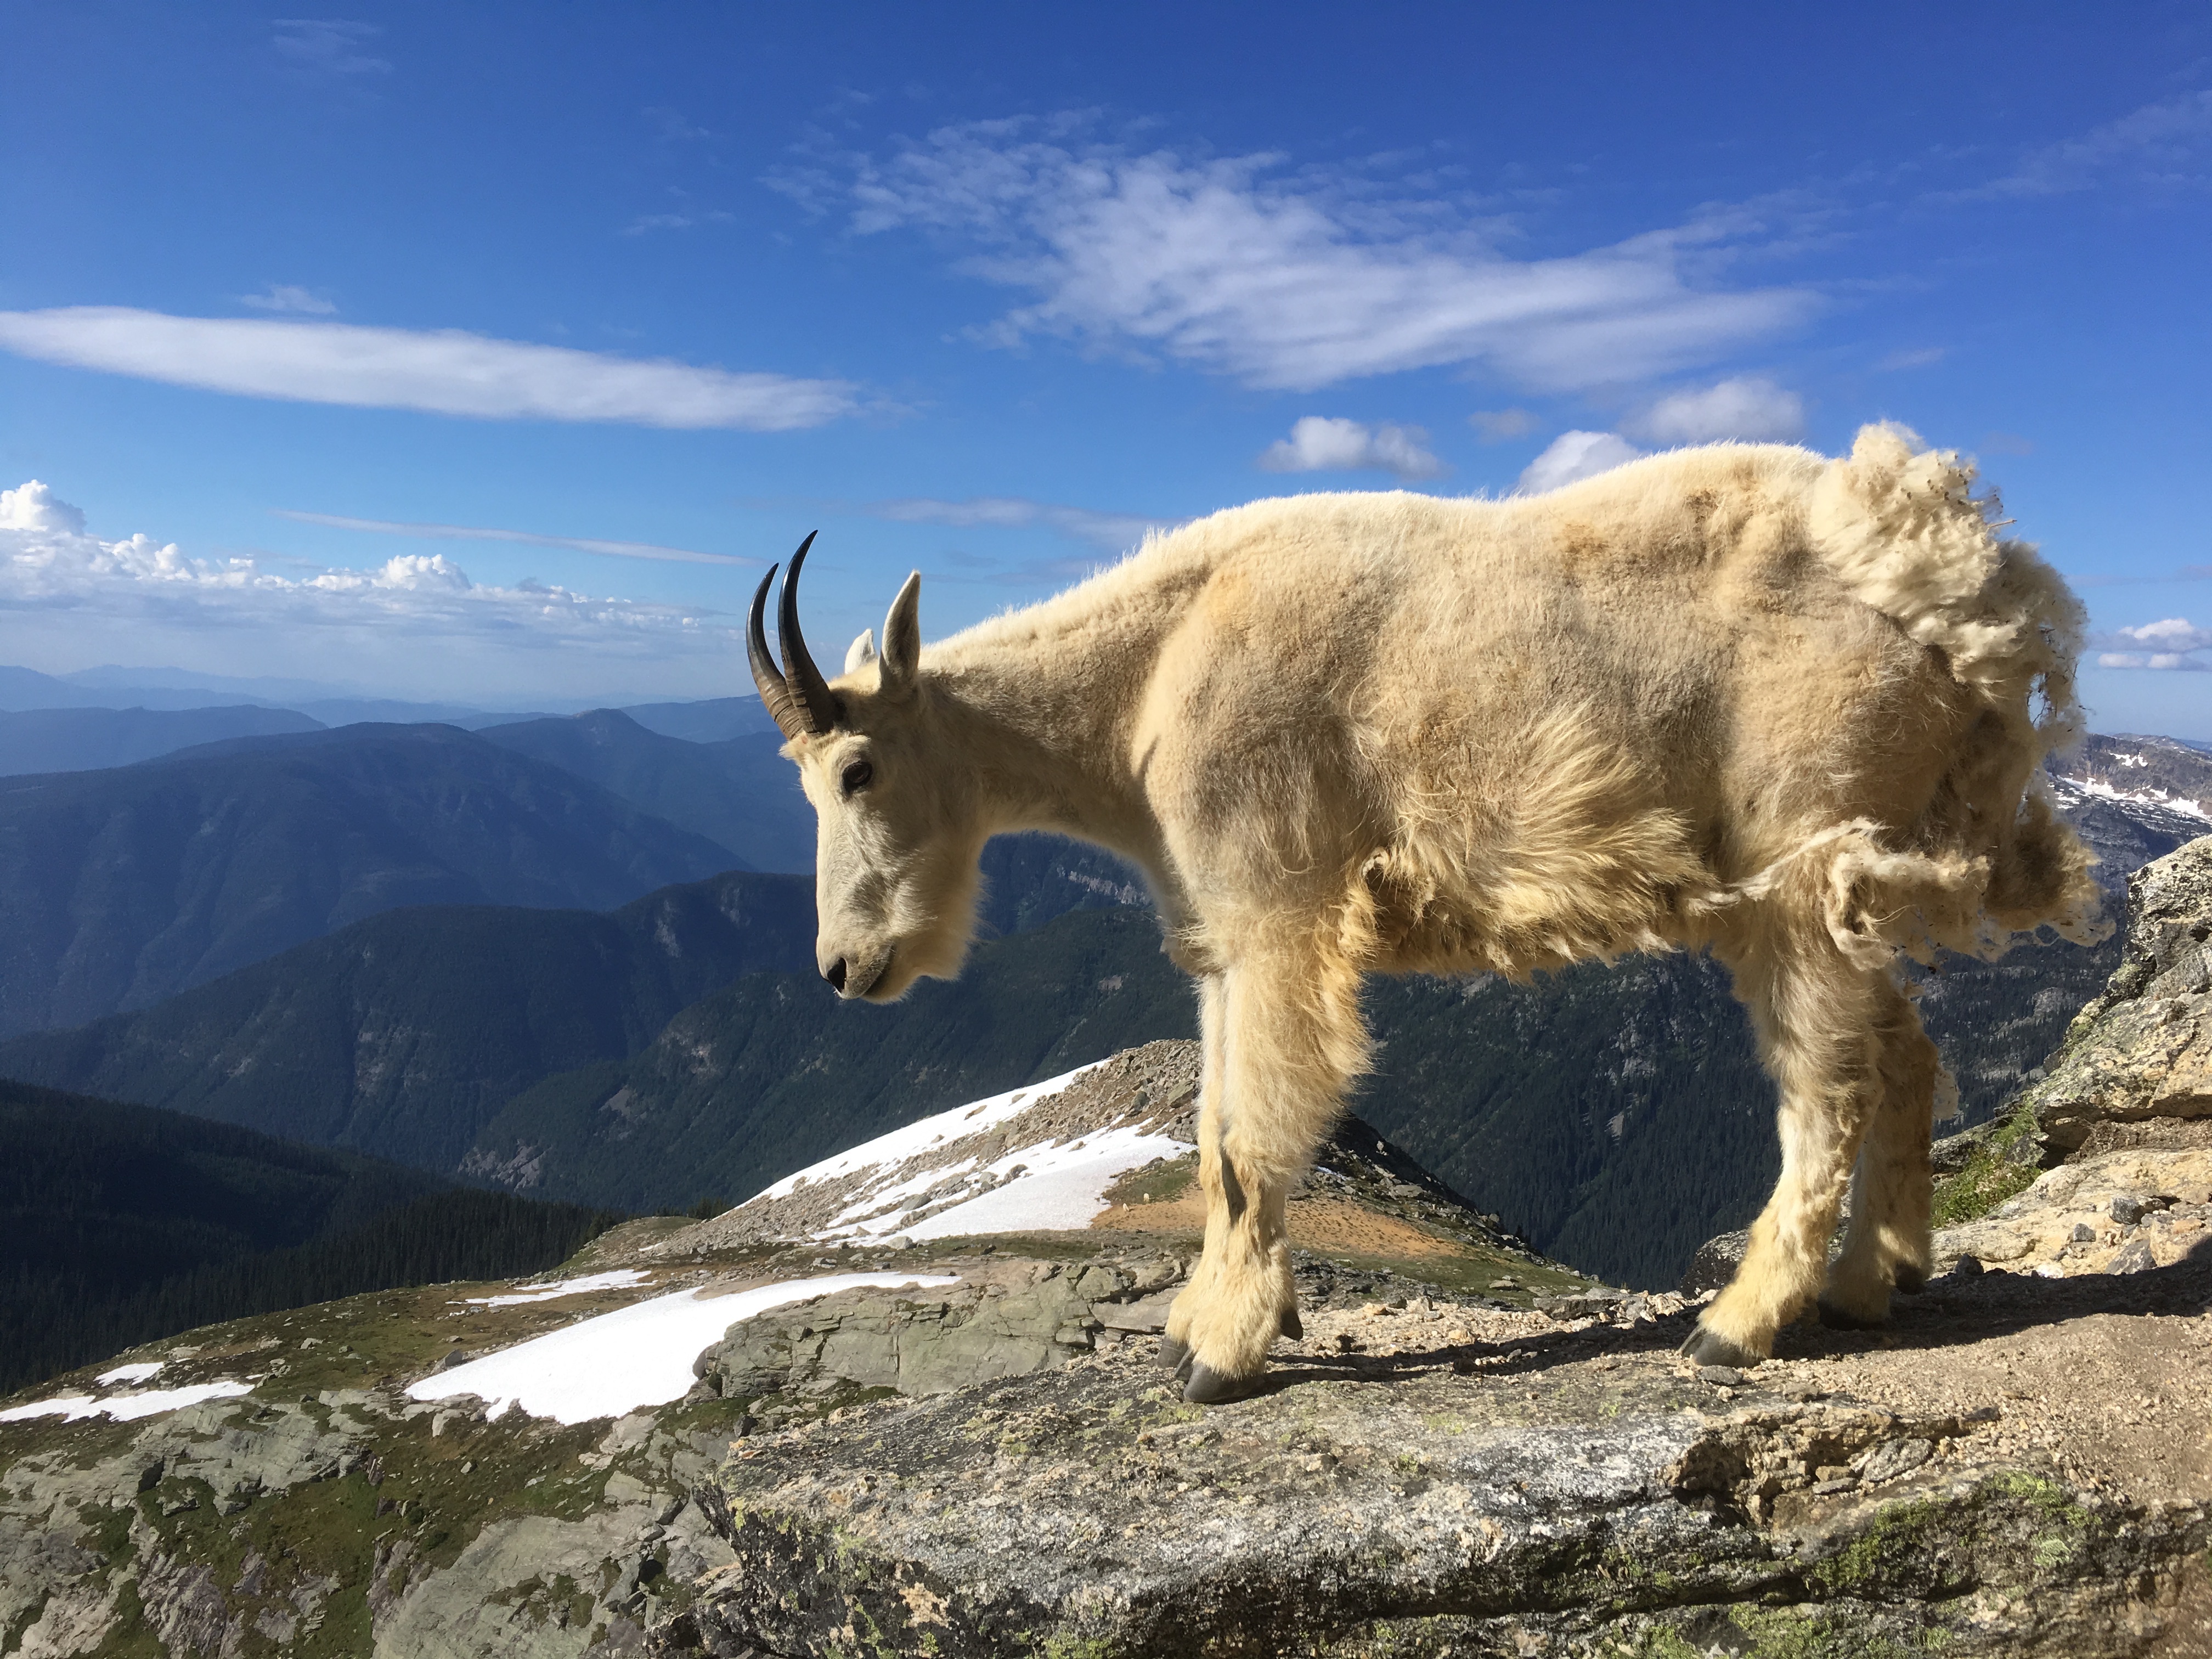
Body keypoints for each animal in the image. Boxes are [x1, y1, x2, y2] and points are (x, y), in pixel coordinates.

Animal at [752, 429, 2097, 1407]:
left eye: (857, 770)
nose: (843, 966)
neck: (1146, 685)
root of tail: (1961, 602)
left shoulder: (1281, 908)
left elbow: (1253, 1132)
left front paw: (1221, 1352)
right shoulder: (1217, 938)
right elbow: (1211, 1129)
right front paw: (1201, 1316)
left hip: (1802, 862)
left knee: (1829, 1082)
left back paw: (1740, 1322)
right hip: (1850, 878)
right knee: (1905, 1050)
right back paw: (1878, 1277)